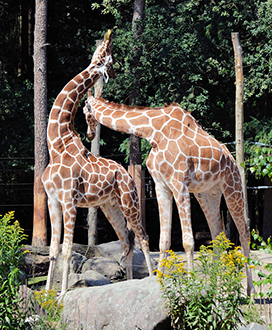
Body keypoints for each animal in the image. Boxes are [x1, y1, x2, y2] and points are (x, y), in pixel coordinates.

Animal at [42, 31, 153, 296]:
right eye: (109, 56)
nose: (112, 72)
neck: (56, 145)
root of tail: (127, 175)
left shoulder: (69, 201)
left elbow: (67, 249)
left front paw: (62, 294)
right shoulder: (53, 199)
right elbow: (53, 250)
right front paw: (47, 293)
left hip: (129, 202)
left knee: (142, 237)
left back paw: (154, 279)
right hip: (109, 206)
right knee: (126, 241)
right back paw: (130, 284)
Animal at [84, 93, 254, 294]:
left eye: (85, 110)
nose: (90, 134)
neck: (154, 132)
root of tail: (232, 158)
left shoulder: (179, 183)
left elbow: (188, 241)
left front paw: (191, 284)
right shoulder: (161, 185)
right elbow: (163, 240)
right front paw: (160, 282)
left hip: (232, 185)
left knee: (244, 232)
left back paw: (250, 292)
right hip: (207, 194)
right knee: (218, 236)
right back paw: (217, 288)